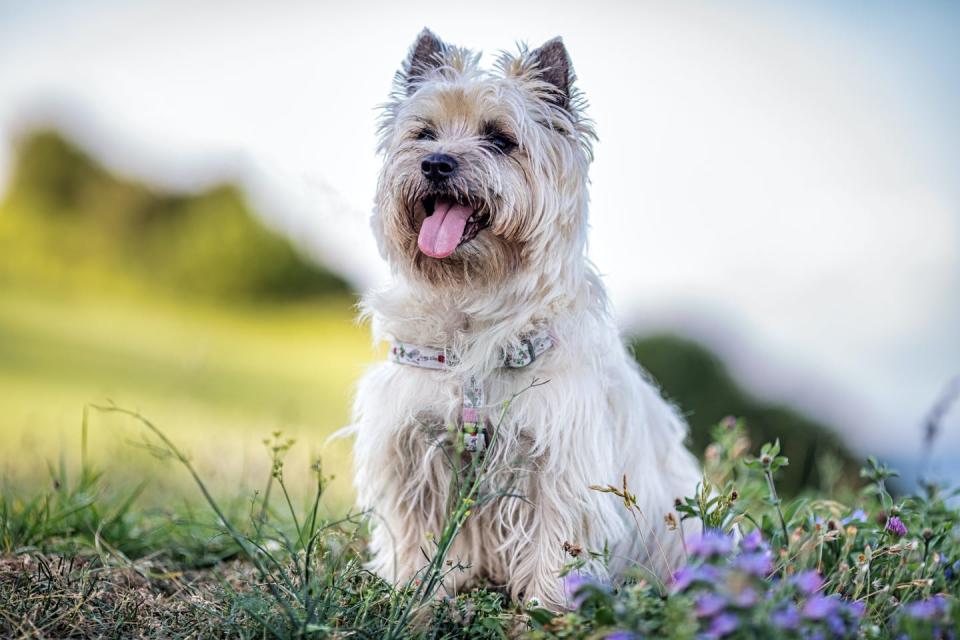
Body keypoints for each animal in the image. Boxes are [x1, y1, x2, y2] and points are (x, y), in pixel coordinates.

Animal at [348, 28, 700, 608]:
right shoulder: (413, 449)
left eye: (500, 139)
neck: (472, 305)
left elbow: (555, 539)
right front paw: (416, 588)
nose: (436, 163)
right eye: (424, 133)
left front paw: (548, 607)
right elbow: (417, 526)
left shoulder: (558, 461)